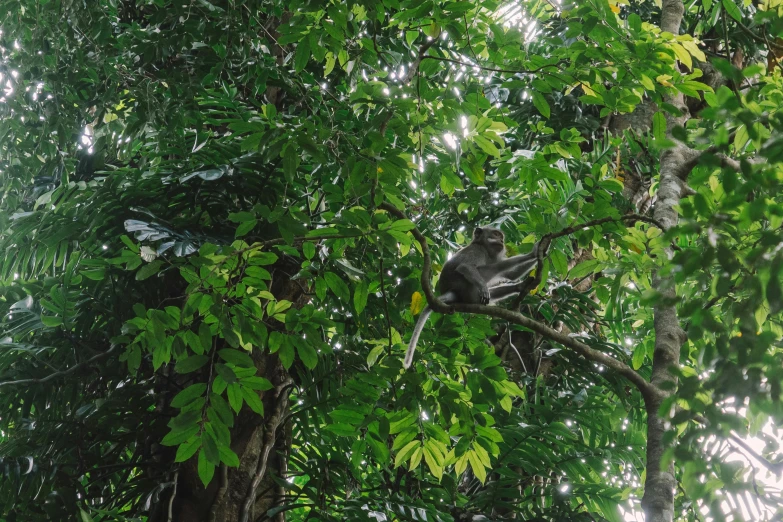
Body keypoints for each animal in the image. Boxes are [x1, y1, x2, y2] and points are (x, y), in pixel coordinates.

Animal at [404, 225, 540, 368]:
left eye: (501, 236)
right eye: (496, 234)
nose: (501, 241)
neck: (483, 247)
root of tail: (452, 291)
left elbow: (510, 275)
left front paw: (534, 253)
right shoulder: (477, 251)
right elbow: (466, 267)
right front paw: (534, 253)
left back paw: (520, 287)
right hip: (466, 288)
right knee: (491, 269)